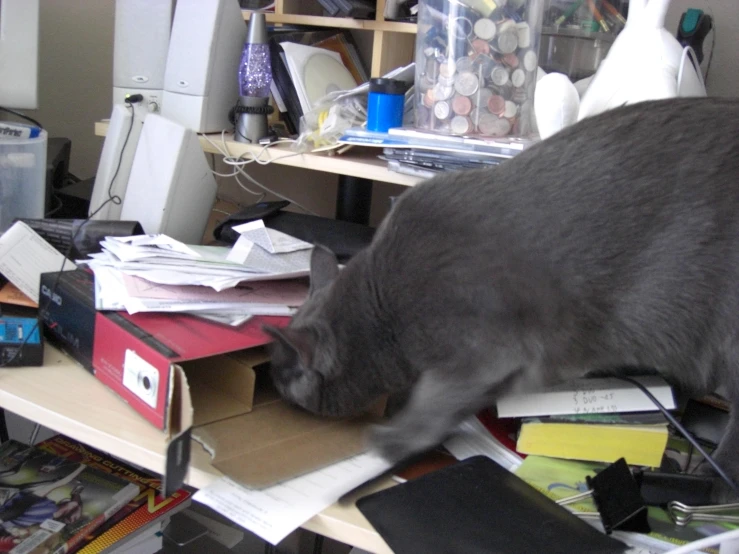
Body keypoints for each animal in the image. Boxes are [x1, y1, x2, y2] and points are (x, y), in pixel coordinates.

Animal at [264, 98, 739, 496]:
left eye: (283, 379)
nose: (273, 384)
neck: (379, 310)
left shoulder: (480, 350)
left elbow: (433, 401)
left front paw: (393, 440)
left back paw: (715, 483)